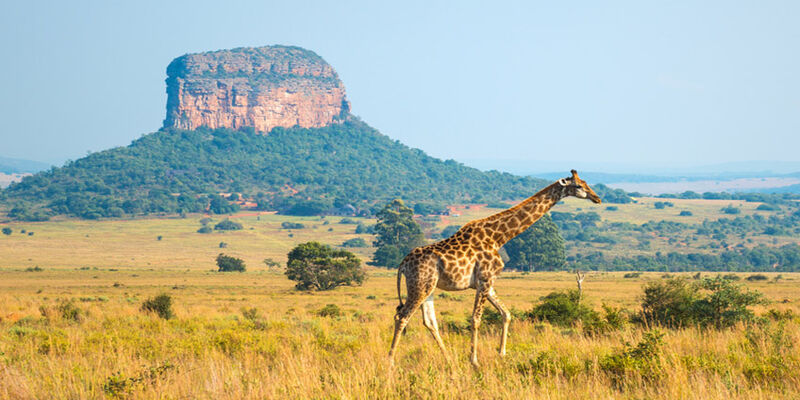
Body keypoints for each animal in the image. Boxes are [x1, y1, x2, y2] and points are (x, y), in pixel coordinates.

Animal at [388, 169, 600, 366]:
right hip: (419, 286)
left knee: (430, 322)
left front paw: (502, 353)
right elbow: (476, 319)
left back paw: (448, 359)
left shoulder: (487, 283)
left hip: (428, 287)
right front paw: (474, 360)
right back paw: (390, 361)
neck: (498, 237)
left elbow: (506, 314)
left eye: (586, 182)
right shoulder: (485, 279)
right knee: (402, 317)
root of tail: (402, 264)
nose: (597, 198)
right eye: (579, 186)